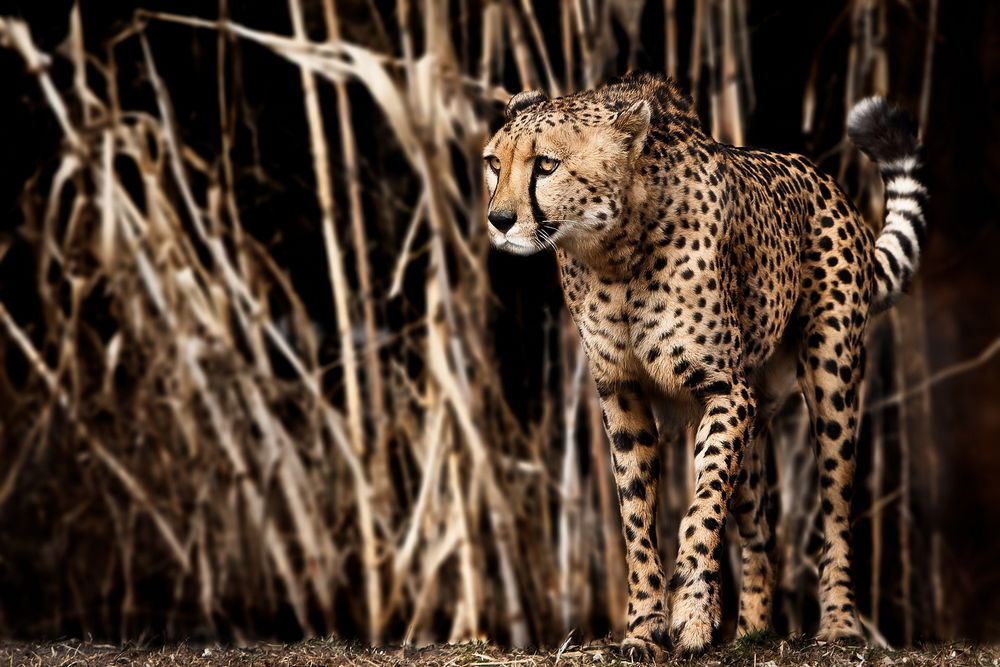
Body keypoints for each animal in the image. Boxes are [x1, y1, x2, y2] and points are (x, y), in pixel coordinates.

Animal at [480, 73, 924, 656]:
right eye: (494, 163)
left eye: (546, 164)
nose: (499, 220)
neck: (615, 251)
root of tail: (823, 179)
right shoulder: (622, 396)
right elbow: (637, 518)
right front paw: (645, 628)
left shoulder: (724, 390)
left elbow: (702, 505)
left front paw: (690, 615)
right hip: (757, 420)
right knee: (762, 532)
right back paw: (753, 631)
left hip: (832, 384)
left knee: (835, 511)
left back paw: (839, 624)